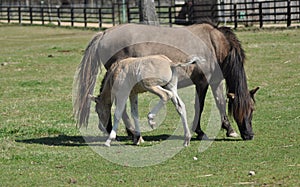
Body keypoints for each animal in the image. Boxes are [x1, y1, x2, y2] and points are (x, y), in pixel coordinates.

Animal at [72, 21, 258, 140]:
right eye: (243, 110)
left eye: (252, 109)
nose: (249, 135)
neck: (214, 44)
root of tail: (105, 33)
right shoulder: (203, 83)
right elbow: (201, 105)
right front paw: (200, 131)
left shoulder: (216, 81)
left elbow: (220, 102)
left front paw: (228, 129)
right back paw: (129, 132)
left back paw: (120, 130)